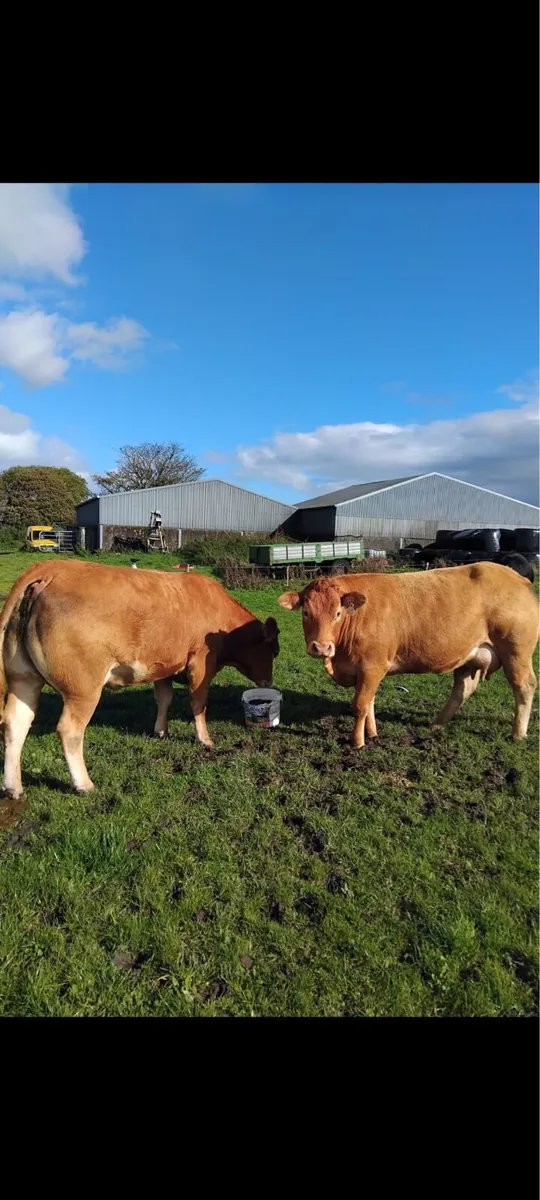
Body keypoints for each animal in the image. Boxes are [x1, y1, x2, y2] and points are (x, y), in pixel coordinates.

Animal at [0, 560, 279, 799]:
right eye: (274, 651)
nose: (268, 683)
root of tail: (53, 568)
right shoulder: (201, 664)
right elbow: (198, 703)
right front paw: (205, 739)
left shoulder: (163, 666)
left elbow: (164, 699)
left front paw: (160, 731)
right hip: (83, 689)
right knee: (69, 730)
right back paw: (83, 784)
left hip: (23, 678)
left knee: (15, 723)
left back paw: (13, 787)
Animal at [279, 562, 538, 749]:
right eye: (306, 613)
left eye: (338, 613)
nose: (321, 648)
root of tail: (517, 578)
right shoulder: (368, 671)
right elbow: (370, 701)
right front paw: (372, 734)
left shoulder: (372, 666)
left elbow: (361, 704)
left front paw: (358, 742)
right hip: (472, 656)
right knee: (462, 689)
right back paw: (436, 725)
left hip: (516, 652)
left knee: (524, 686)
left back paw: (518, 733)